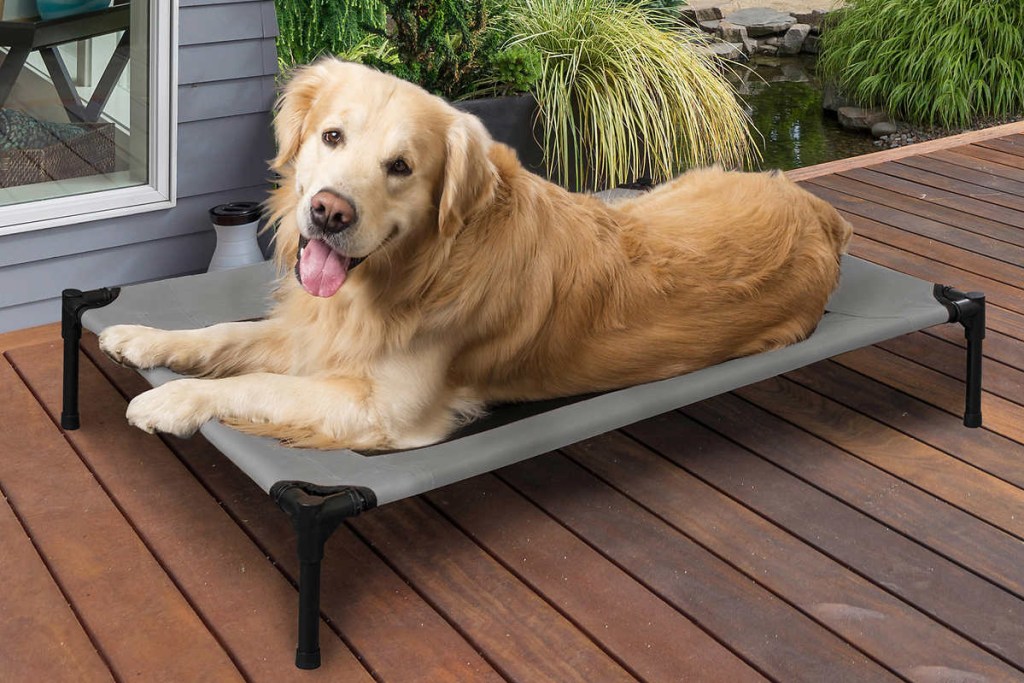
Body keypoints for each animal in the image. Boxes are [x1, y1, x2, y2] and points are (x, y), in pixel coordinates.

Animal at [99, 58, 851, 450]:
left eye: (401, 167)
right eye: (332, 136)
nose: (329, 212)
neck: (413, 268)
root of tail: (814, 209)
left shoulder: (387, 410)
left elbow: (255, 384)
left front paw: (175, 401)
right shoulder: (317, 330)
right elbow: (229, 334)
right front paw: (143, 335)